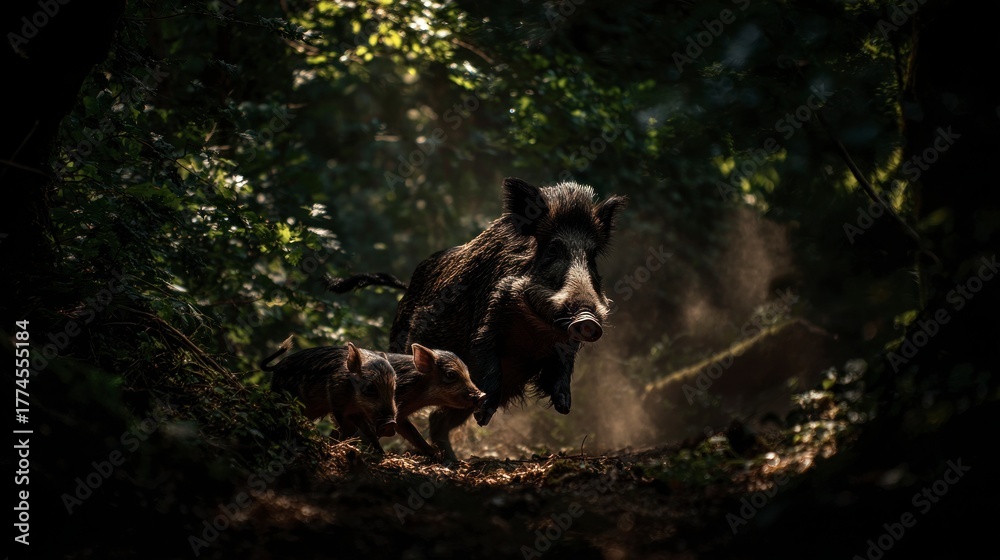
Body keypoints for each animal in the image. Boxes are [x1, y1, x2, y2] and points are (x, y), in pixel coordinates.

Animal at [261, 336, 398, 454]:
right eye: (370, 388)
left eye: (393, 388)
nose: (391, 424)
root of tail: (277, 366)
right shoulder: (337, 405)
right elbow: (348, 430)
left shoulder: (356, 413)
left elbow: (369, 433)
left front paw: (383, 454)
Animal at [324, 178, 625, 460]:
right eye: (552, 249)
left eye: (592, 257)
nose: (587, 319)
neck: (533, 325)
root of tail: (407, 286)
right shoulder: (487, 322)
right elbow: (487, 360)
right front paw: (483, 417)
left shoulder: (562, 344)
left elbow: (563, 368)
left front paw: (564, 408)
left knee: (438, 418)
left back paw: (451, 458)